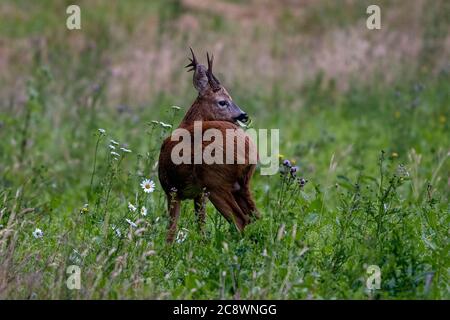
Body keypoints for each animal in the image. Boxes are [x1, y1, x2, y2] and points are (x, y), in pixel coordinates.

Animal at [159, 48, 260, 241]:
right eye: (223, 101)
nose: (243, 115)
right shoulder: (199, 194)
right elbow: (201, 225)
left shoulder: (171, 188)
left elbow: (171, 229)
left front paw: (165, 248)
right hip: (242, 184)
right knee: (258, 217)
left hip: (215, 181)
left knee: (241, 221)